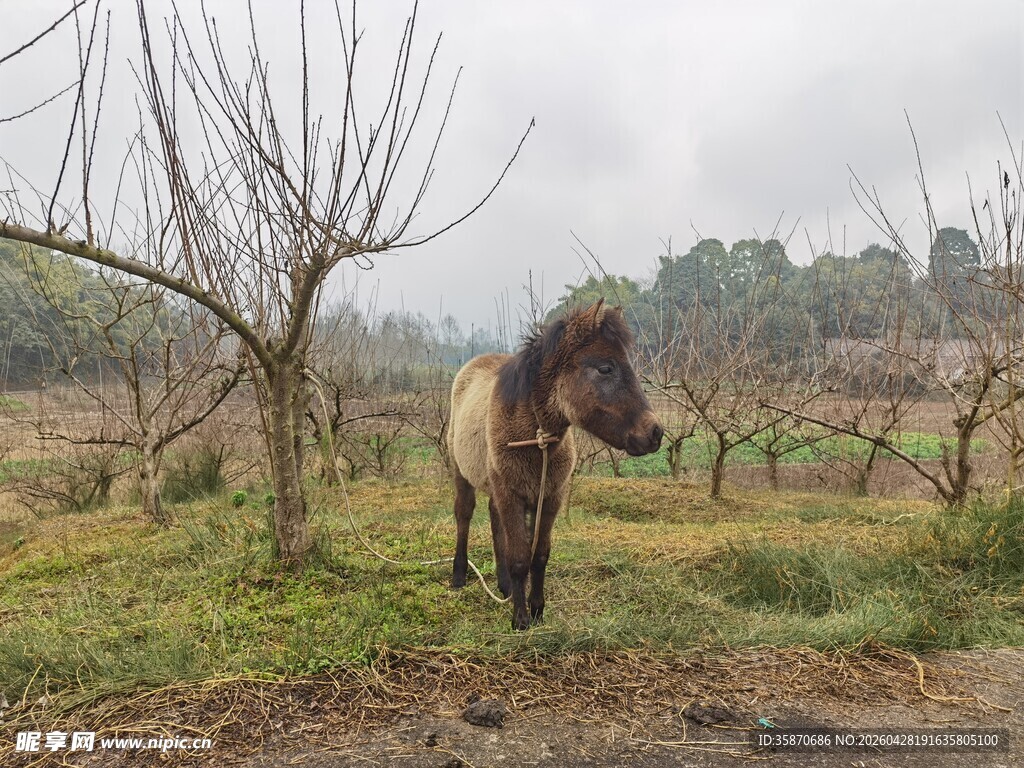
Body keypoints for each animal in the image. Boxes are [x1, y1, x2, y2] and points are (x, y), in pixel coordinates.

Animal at [447, 300, 664, 629]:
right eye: (605, 368)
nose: (655, 433)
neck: (533, 436)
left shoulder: (549, 498)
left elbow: (539, 555)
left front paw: (537, 608)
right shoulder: (511, 495)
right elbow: (520, 557)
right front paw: (520, 619)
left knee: (495, 520)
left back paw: (505, 586)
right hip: (462, 473)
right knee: (464, 514)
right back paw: (459, 575)